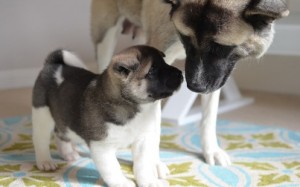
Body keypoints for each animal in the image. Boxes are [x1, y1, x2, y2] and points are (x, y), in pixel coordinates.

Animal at [91, 0, 288, 172]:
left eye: (219, 47)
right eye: (185, 38)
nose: (195, 87)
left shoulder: (215, 79)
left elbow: (209, 116)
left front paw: (211, 150)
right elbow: (154, 126)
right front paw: (152, 163)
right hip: (105, 34)